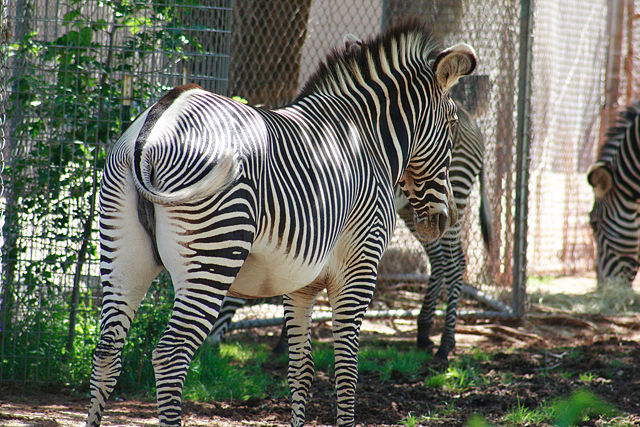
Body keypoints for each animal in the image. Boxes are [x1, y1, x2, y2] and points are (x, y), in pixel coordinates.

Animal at [206, 98, 490, 364]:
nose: (208, 350)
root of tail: (470, 117)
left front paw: (284, 343)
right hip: (416, 212)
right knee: (438, 259)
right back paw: (423, 332)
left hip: (454, 193)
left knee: (455, 261)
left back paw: (445, 345)